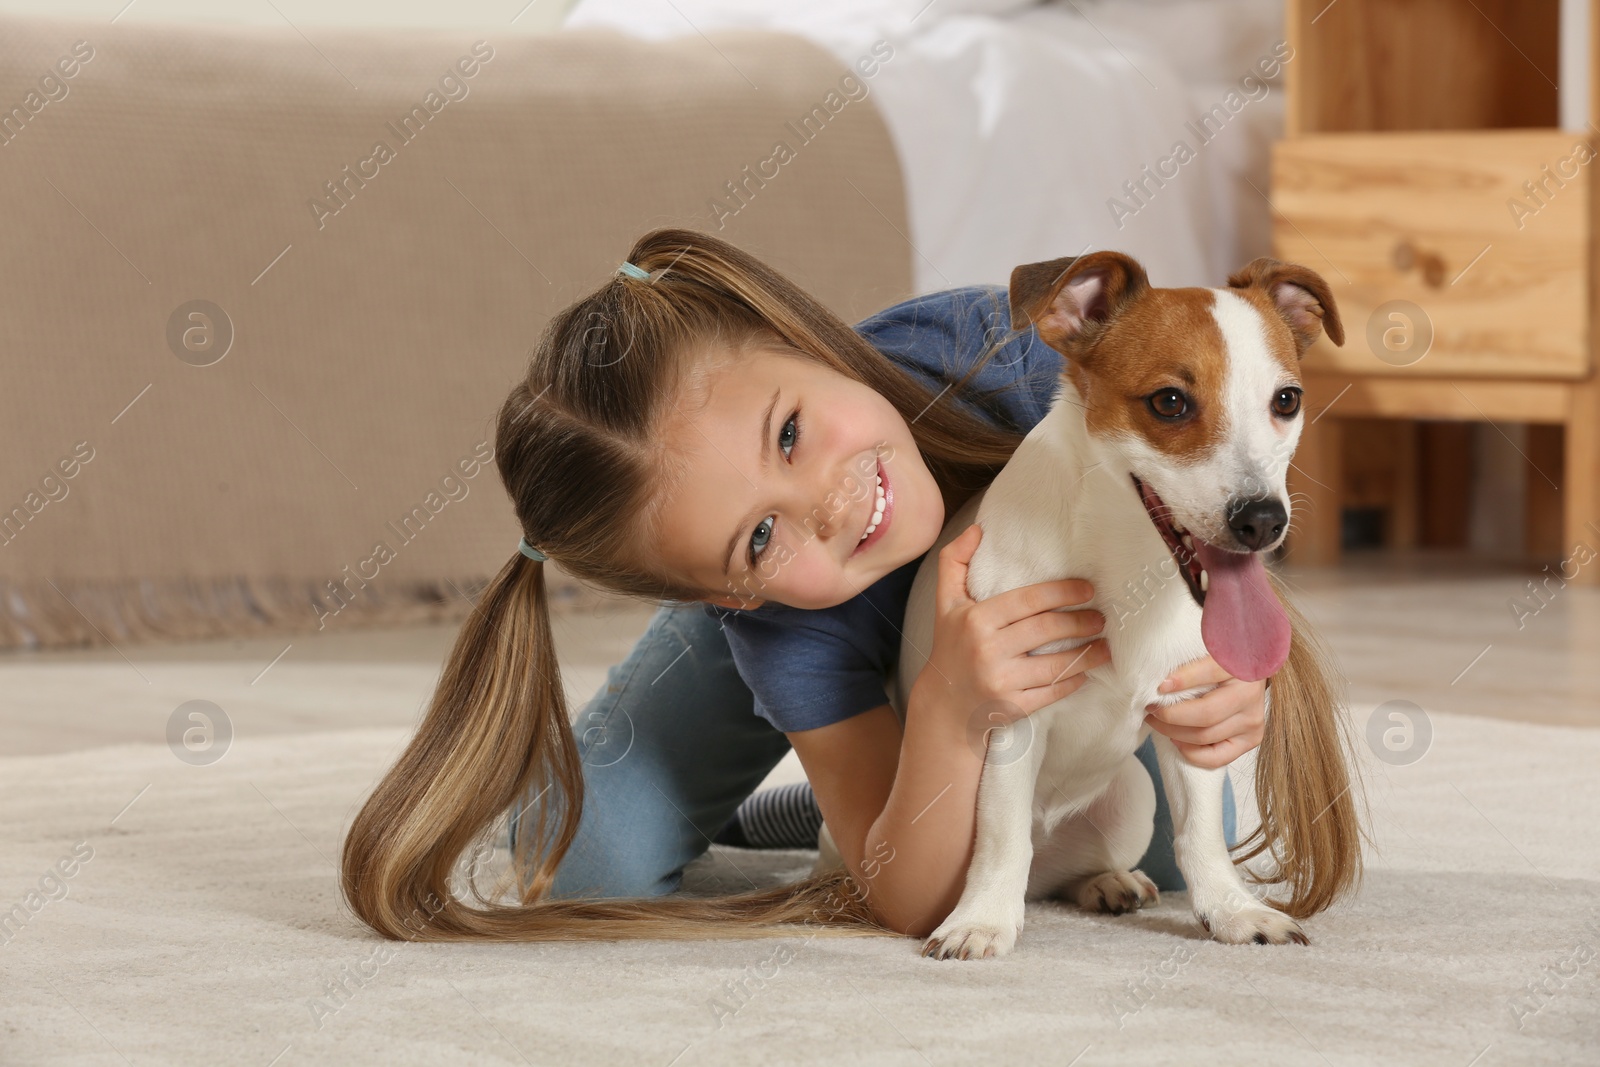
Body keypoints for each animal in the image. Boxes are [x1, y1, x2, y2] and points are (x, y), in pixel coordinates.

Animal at [889, 251, 1363, 959]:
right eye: (1169, 401)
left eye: (1287, 400)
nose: (1262, 520)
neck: (1124, 569)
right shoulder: (1012, 718)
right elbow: (1002, 835)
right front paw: (983, 921)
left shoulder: (1192, 712)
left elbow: (1199, 836)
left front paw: (1231, 912)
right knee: (1024, 853)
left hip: (1131, 799)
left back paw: (1103, 882)